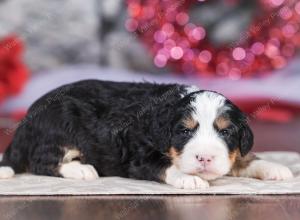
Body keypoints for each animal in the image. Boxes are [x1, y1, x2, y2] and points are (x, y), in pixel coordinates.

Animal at [0, 81, 292, 189]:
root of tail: (27, 118)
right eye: (184, 131)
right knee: (42, 162)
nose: (205, 158)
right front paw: (190, 178)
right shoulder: (138, 157)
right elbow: (165, 165)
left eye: (226, 131)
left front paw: (274, 168)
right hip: (61, 125)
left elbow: (243, 157)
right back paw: (81, 169)